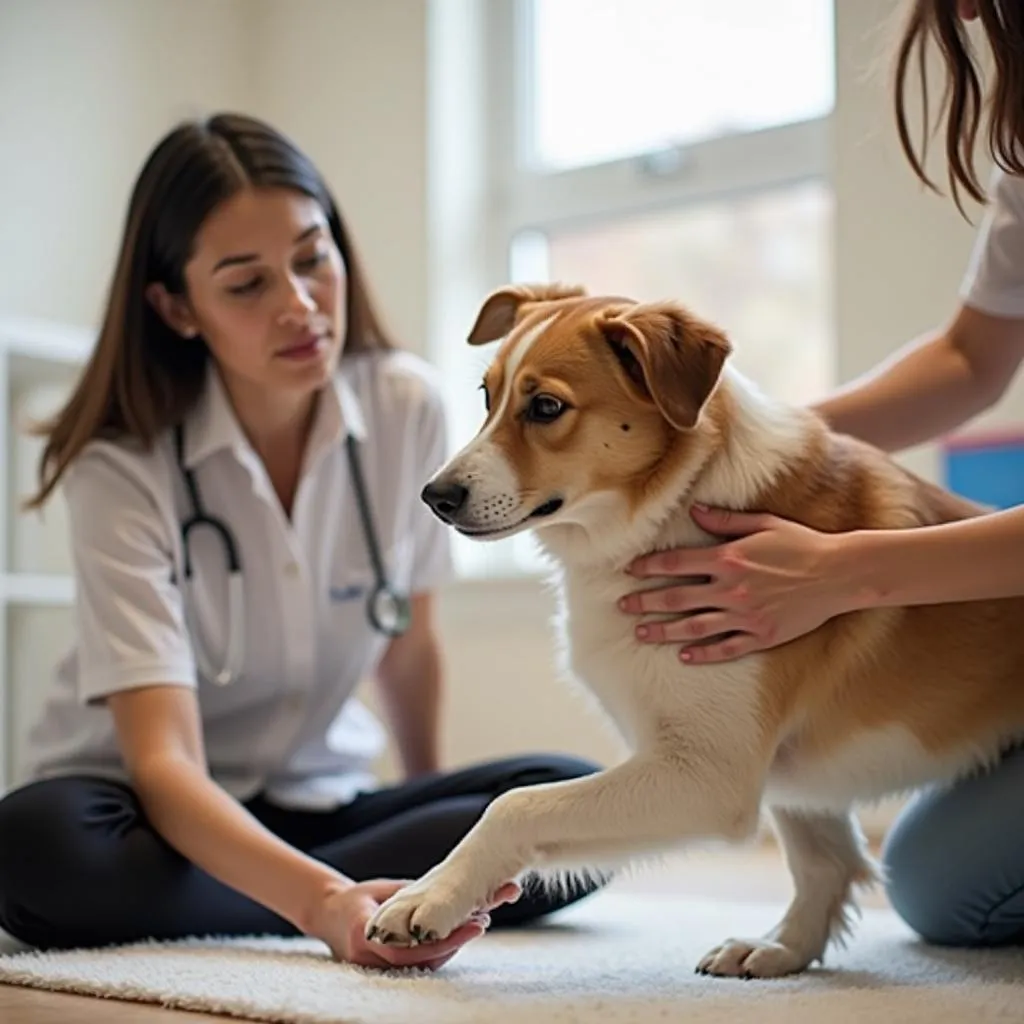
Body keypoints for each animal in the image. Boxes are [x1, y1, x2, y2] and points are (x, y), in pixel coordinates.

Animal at [366, 284, 1024, 978]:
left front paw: (430, 896)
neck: (670, 509)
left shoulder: (711, 772)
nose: (434, 496)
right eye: (487, 397)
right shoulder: (768, 770)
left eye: (545, 407)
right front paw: (785, 949)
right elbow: (824, 860)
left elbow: (513, 805)